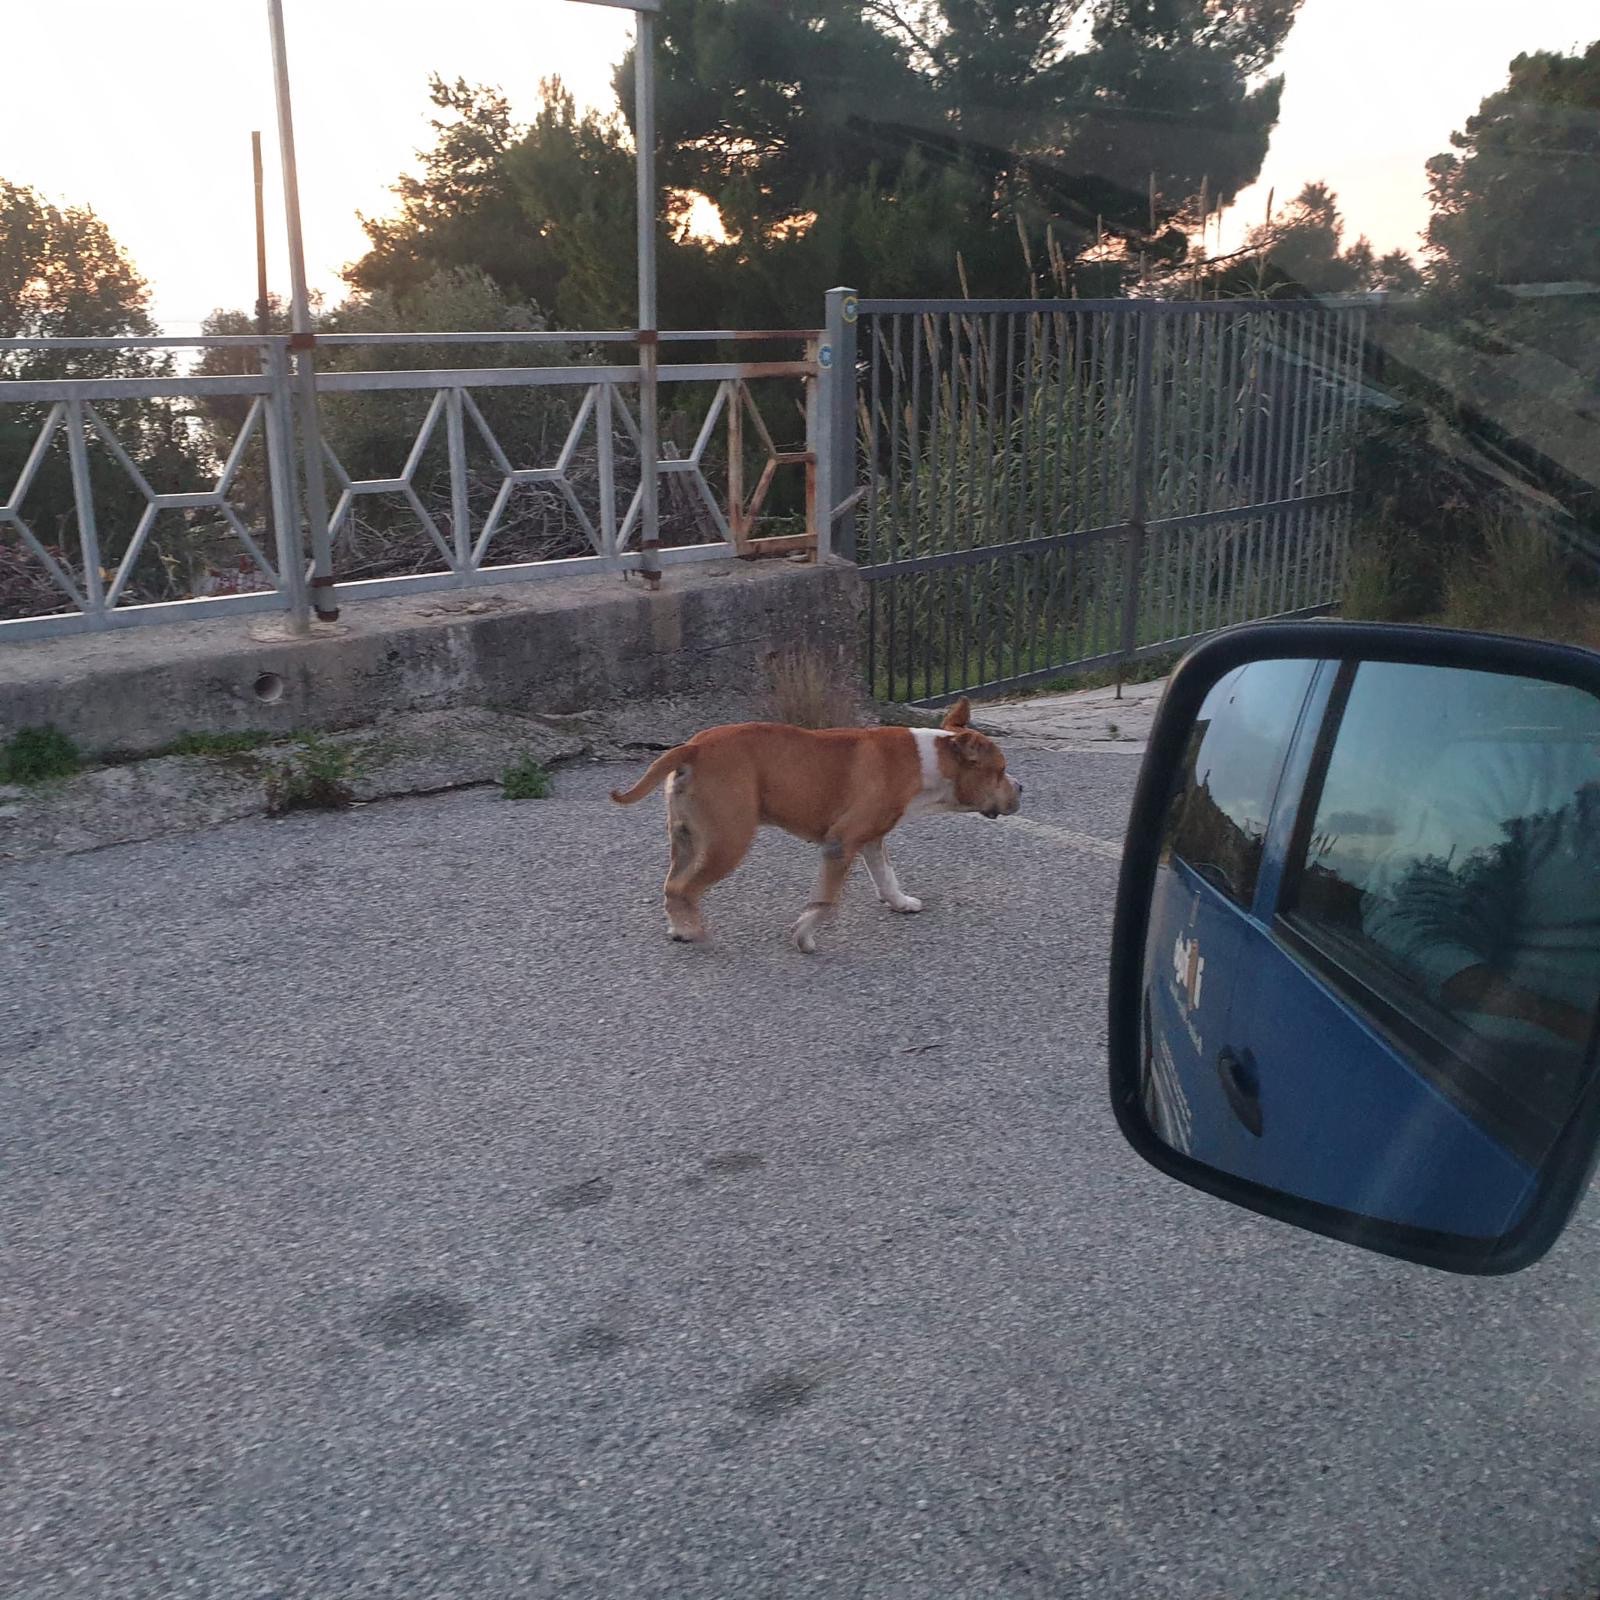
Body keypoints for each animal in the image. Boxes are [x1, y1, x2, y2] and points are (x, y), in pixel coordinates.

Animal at [604, 697, 1017, 947]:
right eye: (1000, 771)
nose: (1022, 787)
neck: (929, 760)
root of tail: (693, 747)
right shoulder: (841, 845)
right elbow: (825, 899)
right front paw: (804, 935)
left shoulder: (871, 840)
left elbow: (886, 874)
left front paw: (899, 902)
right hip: (728, 842)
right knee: (683, 888)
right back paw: (691, 930)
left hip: (687, 839)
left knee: (672, 883)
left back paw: (679, 925)